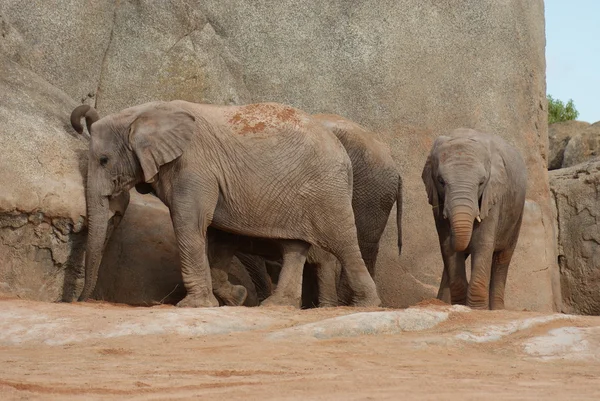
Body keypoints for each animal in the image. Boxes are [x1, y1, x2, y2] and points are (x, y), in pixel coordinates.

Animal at [70, 101, 380, 308]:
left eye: (103, 160)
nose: (81, 300)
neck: (143, 113)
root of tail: (343, 153)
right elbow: (220, 235)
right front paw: (238, 297)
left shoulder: (195, 166)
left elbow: (190, 223)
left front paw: (193, 306)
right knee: (295, 245)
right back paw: (276, 306)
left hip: (326, 190)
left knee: (342, 242)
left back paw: (365, 305)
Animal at [422, 128, 524, 310]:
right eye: (441, 181)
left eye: (482, 182)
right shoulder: (438, 202)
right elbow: (447, 247)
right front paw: (461, 305)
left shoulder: (493, 197)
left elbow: (483, 244)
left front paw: (476, 309)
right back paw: (441, 303)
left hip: (516, 216)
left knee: (502, 258)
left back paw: (497, 309)